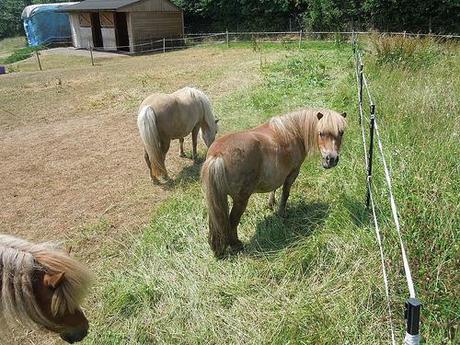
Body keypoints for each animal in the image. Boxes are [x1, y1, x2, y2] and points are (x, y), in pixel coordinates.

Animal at [201, 107, 344, 255]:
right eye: (321, 133)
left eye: (341, 132)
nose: (331, 159)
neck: (292, 130)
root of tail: (217, 155)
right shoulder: (292, 173)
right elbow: (285, 194)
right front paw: (281, 213)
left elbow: (274, 187)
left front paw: (271, 203)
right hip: (241, 200)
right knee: (232, 221)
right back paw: (236, 244)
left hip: (216, 199)